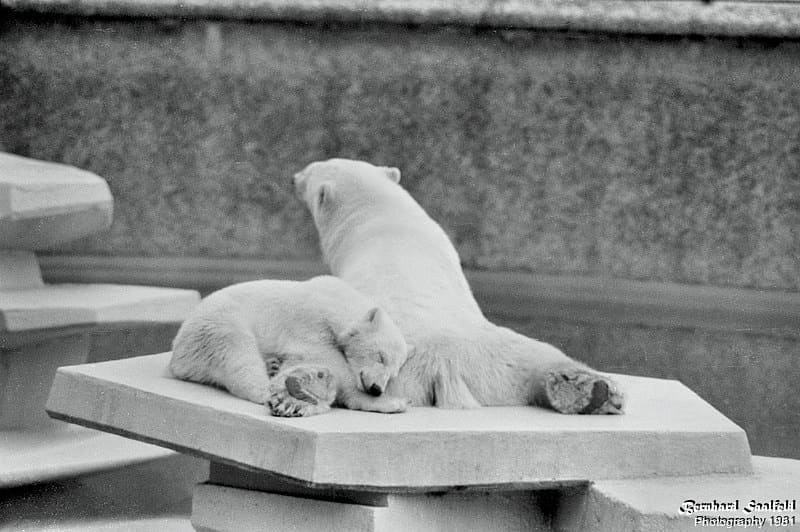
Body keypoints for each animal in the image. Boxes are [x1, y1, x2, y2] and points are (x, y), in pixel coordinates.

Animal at [166, 276, 410, 418]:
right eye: (380, 357)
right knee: (240, 357)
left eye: (393, 373)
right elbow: (328, 360)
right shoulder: (308, 322)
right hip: (218, 326)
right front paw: (391, 403)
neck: (332, 300)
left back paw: (274, 367)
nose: (376, 389)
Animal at [294, 159, 624, 416]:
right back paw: (594, 391)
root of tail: (443, 365)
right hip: (503, 359)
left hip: (379, 365)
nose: (296, 176)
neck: (383, 214)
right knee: (542, 359)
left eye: (312, 170)